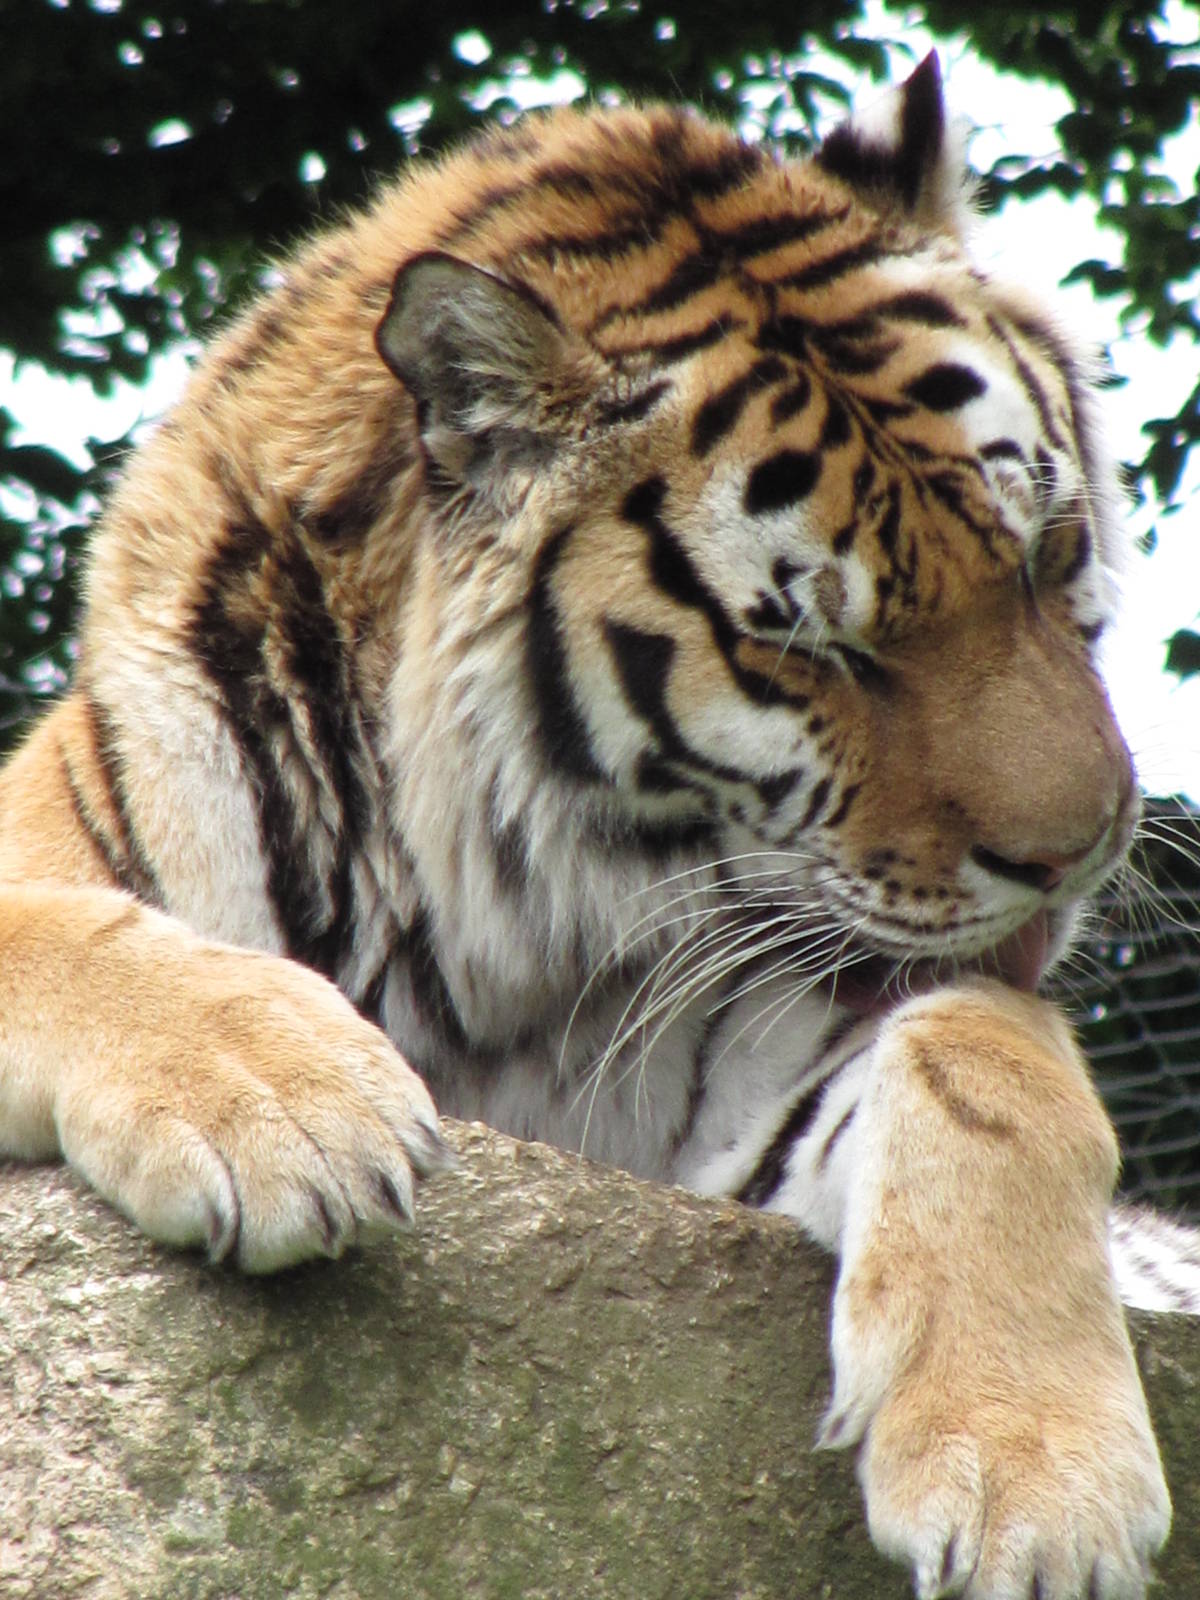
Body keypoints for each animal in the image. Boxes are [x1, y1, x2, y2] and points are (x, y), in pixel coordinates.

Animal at [2, 49, 1197, 1598]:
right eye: (815, 648)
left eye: (1049, 557)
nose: (1082, 849)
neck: (480, 932)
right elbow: (63, 930)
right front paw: (285, 1101)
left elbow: (988, 1052)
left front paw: (1037, 1476)